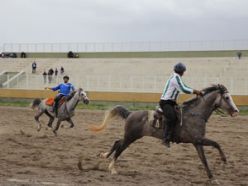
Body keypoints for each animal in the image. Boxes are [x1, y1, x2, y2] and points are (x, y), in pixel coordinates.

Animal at [89, 84, 238, 180]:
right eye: (226, 97)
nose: (236, 111)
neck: (196, 114)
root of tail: (131, 113)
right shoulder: (198, 140)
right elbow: (216, 144)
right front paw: (224, 161)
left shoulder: (197, 142)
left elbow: (204, 159)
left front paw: (212, 177)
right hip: (131, 137)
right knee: (120, 147)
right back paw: (112, 168)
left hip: (131, 136)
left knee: (117, 142)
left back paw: (104, 156)